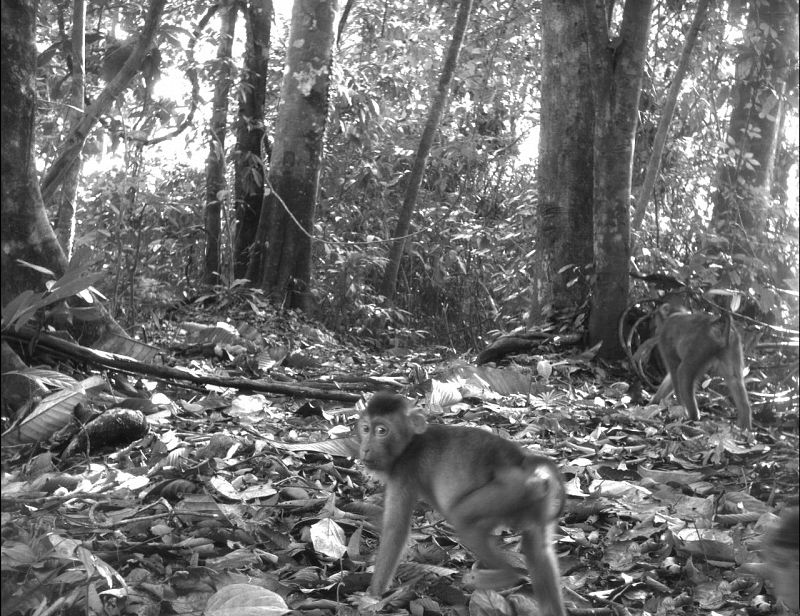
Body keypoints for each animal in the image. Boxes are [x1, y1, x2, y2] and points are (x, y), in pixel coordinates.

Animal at [356, 392, 566, 616]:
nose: (365, 448)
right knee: (540, 550)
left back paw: (504, 576)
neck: (412, 442)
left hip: (510, 491)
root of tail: (522, 461)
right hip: (539, 496)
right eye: (365, 429)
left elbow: (396, 530)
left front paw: (373, 596)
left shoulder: (404, 470)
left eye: (381, 431)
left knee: (463, 520)